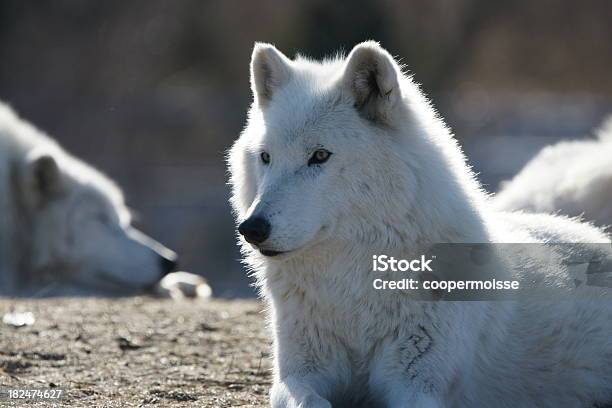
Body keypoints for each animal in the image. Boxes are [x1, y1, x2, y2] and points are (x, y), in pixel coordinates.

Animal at [227, 42, 612, 408]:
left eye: (319, 156)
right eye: (266, 157)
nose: (252, 228)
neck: (352, 288)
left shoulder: (418, 384)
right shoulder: (299, 373)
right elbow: (303, 398)